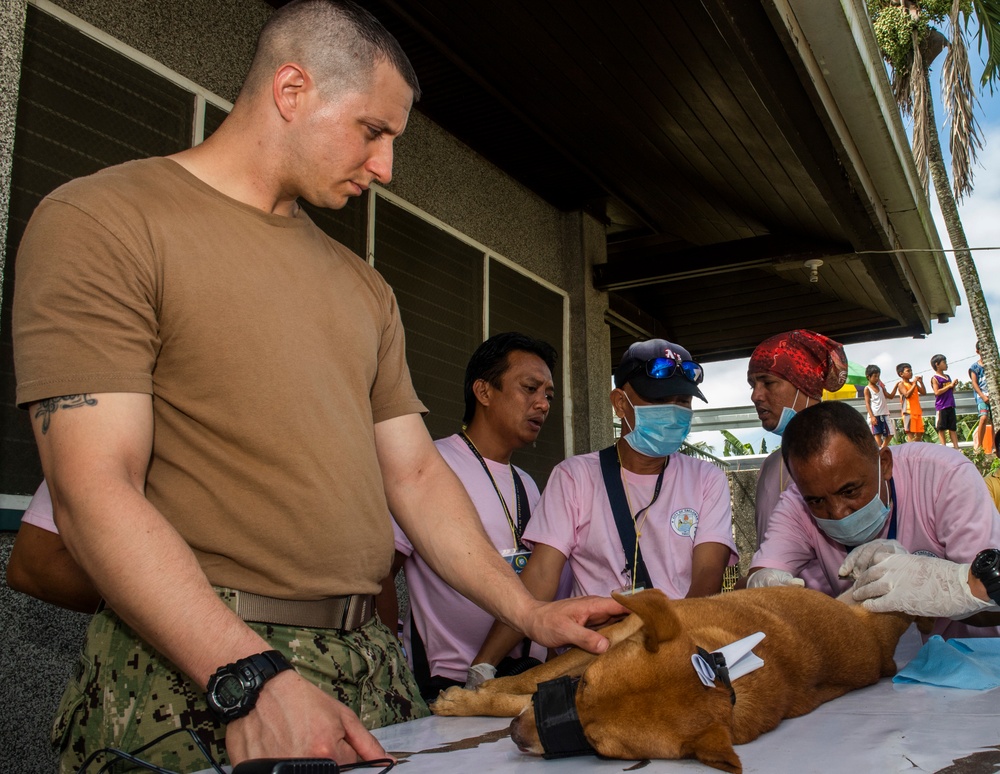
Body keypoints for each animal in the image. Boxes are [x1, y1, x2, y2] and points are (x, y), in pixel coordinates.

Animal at [430, 592, 916, 772]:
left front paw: (474, 701)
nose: (514, 736)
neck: (720, 670)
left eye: (601, 749)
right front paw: (476, 696)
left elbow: (525, 694)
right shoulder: (598, 642)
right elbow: (532, 680)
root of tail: (880, 645)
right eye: (583, 685)